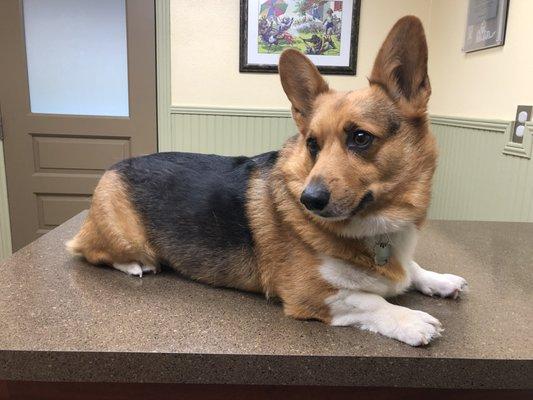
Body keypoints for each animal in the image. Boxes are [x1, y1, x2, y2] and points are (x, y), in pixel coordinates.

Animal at [67, 16, 466, 346]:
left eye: (360, 138)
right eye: (312, 144)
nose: (310, 200)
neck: (378, 227)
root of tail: (114, 167)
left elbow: (412, 269)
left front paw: (440, 280)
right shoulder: (311, 293)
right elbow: (371, 301)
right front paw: (412, 320)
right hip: (123, 238)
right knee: (91, 251)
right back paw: (136, 265)